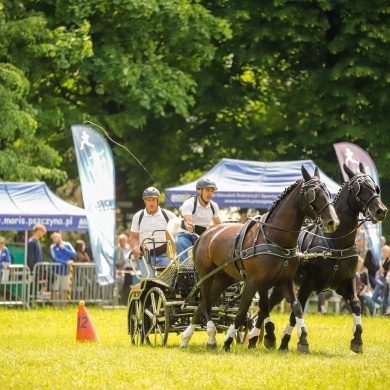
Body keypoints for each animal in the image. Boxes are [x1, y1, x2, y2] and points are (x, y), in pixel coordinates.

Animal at [179, 165, 338, 350]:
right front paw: (228, 341)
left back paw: (189, 339)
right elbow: (242, 312)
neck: (274, 237)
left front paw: (303, 339)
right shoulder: (252, 282)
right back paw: (209, 335)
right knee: (205, 303)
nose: (333, 222)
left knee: (204, 303)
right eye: (313, 193)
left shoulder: (285, 281)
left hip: (223, 278)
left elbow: (296, 307)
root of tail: (206, 233)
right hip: (206, 275)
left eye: (328, 192)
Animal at [250, 161, 386, 354]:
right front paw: (293, 341)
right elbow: (295, 313)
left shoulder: (346, 283)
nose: (381, 210)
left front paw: (357, 338)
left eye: (375, 187)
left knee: (267, 305)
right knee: (264, 305)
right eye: (359, 188)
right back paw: (256, 336)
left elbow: (356, 304)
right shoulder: (307, 284)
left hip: (281, 284)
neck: (334, 242)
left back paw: (262, 337)